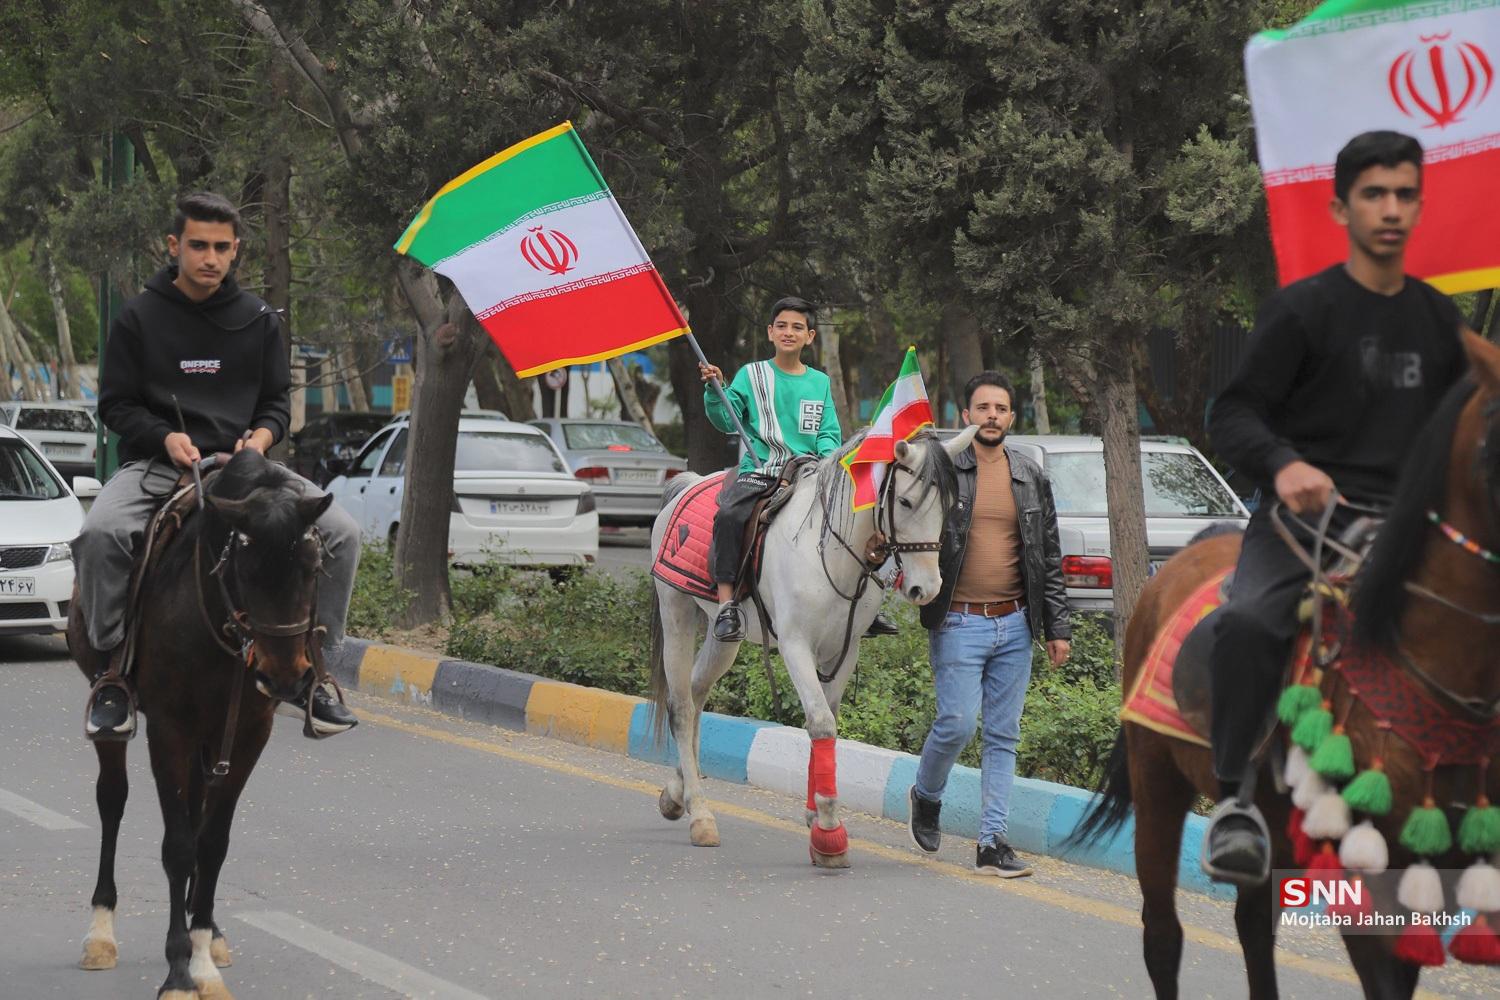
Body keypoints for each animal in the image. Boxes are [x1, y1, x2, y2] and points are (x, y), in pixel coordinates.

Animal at [69, 449, 333, 1000]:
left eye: (314, 567)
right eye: (244, 570)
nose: (284, 677)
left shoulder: (251, 731)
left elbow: (211, 842)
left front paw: (202, 953)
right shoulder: (168, 730)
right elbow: (177, 847)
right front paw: (178, 971)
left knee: (197, 810)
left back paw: (209, 932)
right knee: (112, 801)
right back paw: (101, 932)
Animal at [647, 426, 977, 865]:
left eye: (948, 505)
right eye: (906, 501)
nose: (928, 588)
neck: (830, 552)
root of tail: (689, 482)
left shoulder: (844, 650)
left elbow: (826, 721)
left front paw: (815, 815)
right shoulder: (795, 645)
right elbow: (821, 722)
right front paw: (829, 831)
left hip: (723, 639)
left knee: (697, 695)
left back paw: (675, 794)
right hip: (677, 611)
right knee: (682, 707)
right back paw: (700, 814)